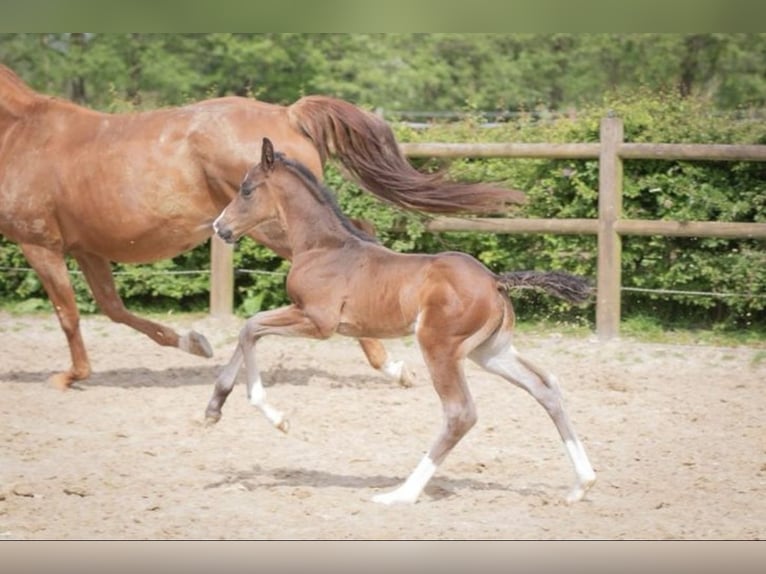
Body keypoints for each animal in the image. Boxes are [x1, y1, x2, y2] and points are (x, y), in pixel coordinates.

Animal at [0, 66, 524, 392]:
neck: (18, 131)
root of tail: (286, 112)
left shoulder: (38, 242)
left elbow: (69, 314)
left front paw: (70, 376)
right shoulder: (86, 247)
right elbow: (113, 308)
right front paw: (193, 344)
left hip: (273, 228)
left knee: (356, 235)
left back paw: (389, 365)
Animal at [207, 141, 596, 508]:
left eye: (246, 189)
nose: (220, 227)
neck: (323, 247)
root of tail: (495, 281)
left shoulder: (318, 321)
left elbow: (250, 328)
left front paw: (276, 418)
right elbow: (249, 331)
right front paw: (213, 408)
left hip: (438, 346)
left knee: (460, 413)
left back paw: (402, 494)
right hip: (490, 352)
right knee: (545, 387)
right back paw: (582, 484)